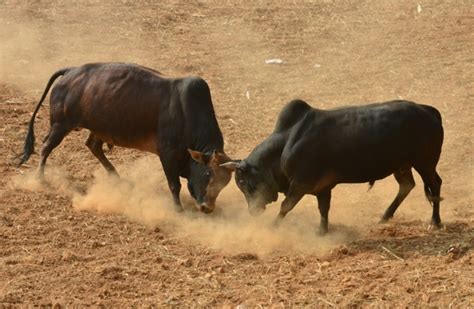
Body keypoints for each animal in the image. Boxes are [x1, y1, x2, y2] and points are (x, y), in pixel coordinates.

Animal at [17, 61, 233, 213]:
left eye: (225, 182)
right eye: (208, 174)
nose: (207, 208)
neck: (187, 114)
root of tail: (72, 71)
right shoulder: (167, 154)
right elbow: (174, 184)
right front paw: (178, 210)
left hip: (97, 128)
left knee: (93, 146)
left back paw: (118, 179)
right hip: (60, 125)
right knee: (46, 147)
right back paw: (40, 178)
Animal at [223, 100, 444, 232]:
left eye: (244, 183)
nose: (253, 211)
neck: (285, 144)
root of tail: (429, 111)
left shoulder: (300, 185)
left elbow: (286, 206)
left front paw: (274, 225)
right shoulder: (323, 188)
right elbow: (323, 209)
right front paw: (323, 231)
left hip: (424, 163)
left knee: (435, 185)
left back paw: (435, 221)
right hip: (402, 165)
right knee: (407, 185)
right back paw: (385, 215)